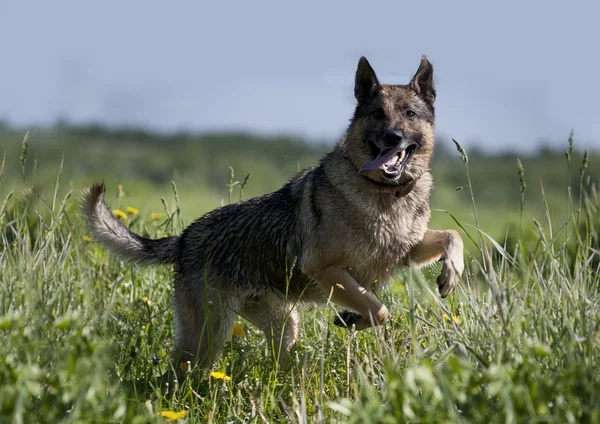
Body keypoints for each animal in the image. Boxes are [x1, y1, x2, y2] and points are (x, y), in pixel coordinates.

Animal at [81, 54, 464, 372]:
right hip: (205, 338)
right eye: (377, 114)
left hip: (281, 327)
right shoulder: (325, 268)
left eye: (409, 114)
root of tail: (185, 238)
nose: (392, 136)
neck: (385, 193)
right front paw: (354, 318)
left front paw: (450, 274)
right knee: (175, 375)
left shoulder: (407, 250)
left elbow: (452, 236)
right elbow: (379, 309)